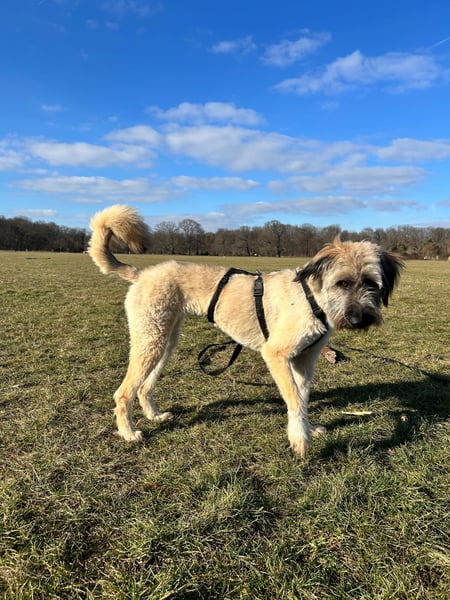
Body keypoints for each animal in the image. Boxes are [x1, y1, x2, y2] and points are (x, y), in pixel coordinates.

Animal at [88, 204, 403, 457]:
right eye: (343, 283)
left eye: (371, 283)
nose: (359, 319)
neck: (312, 297)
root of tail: (141, 273)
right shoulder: (276, 354)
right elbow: (294, 399)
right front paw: (300, 440)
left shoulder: (305, 359)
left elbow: (302, 398)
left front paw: (307, 428)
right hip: (150, 340)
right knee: (123, 393)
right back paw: (128, 432)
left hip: (165, 342)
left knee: (144, 387)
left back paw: (154, 416)